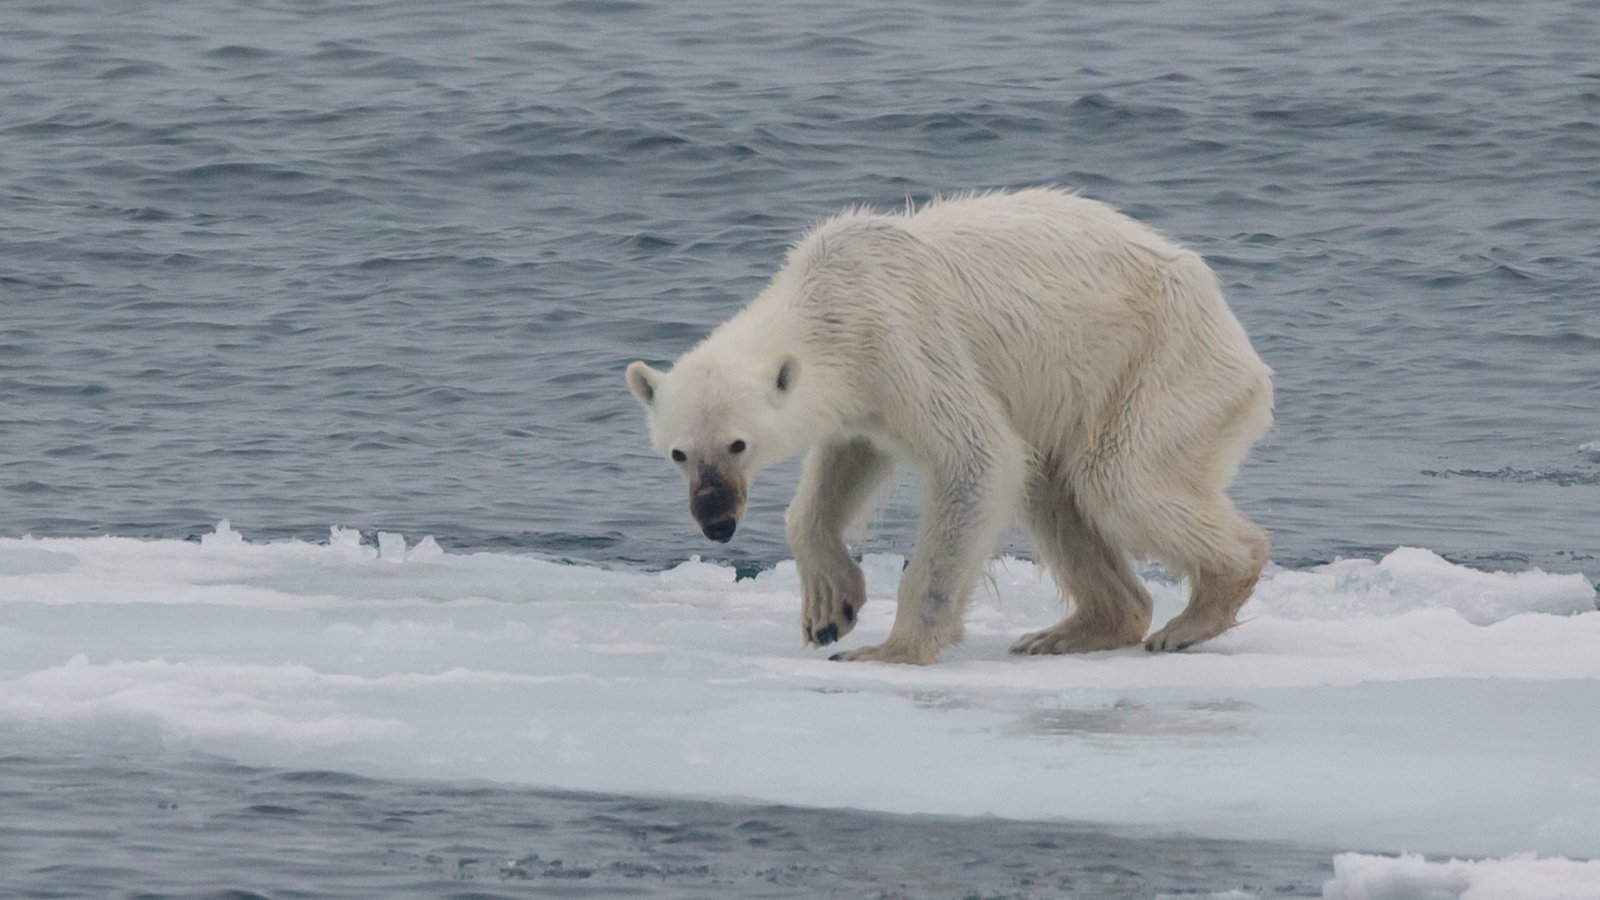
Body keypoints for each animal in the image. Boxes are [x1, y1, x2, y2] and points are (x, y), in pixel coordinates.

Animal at [624, 187, 1273, 666]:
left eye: (738, 443)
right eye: (679, 453)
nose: (717, 522)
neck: (832, 301)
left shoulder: (904, 341)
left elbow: (977, 457)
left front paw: (889, 650)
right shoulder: (865, 397)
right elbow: (844, 464)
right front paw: (830, 609)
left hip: (1161, 365)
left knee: (1117, 478)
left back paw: (1193, 614)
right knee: (1053, 488)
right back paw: (1070, 631)